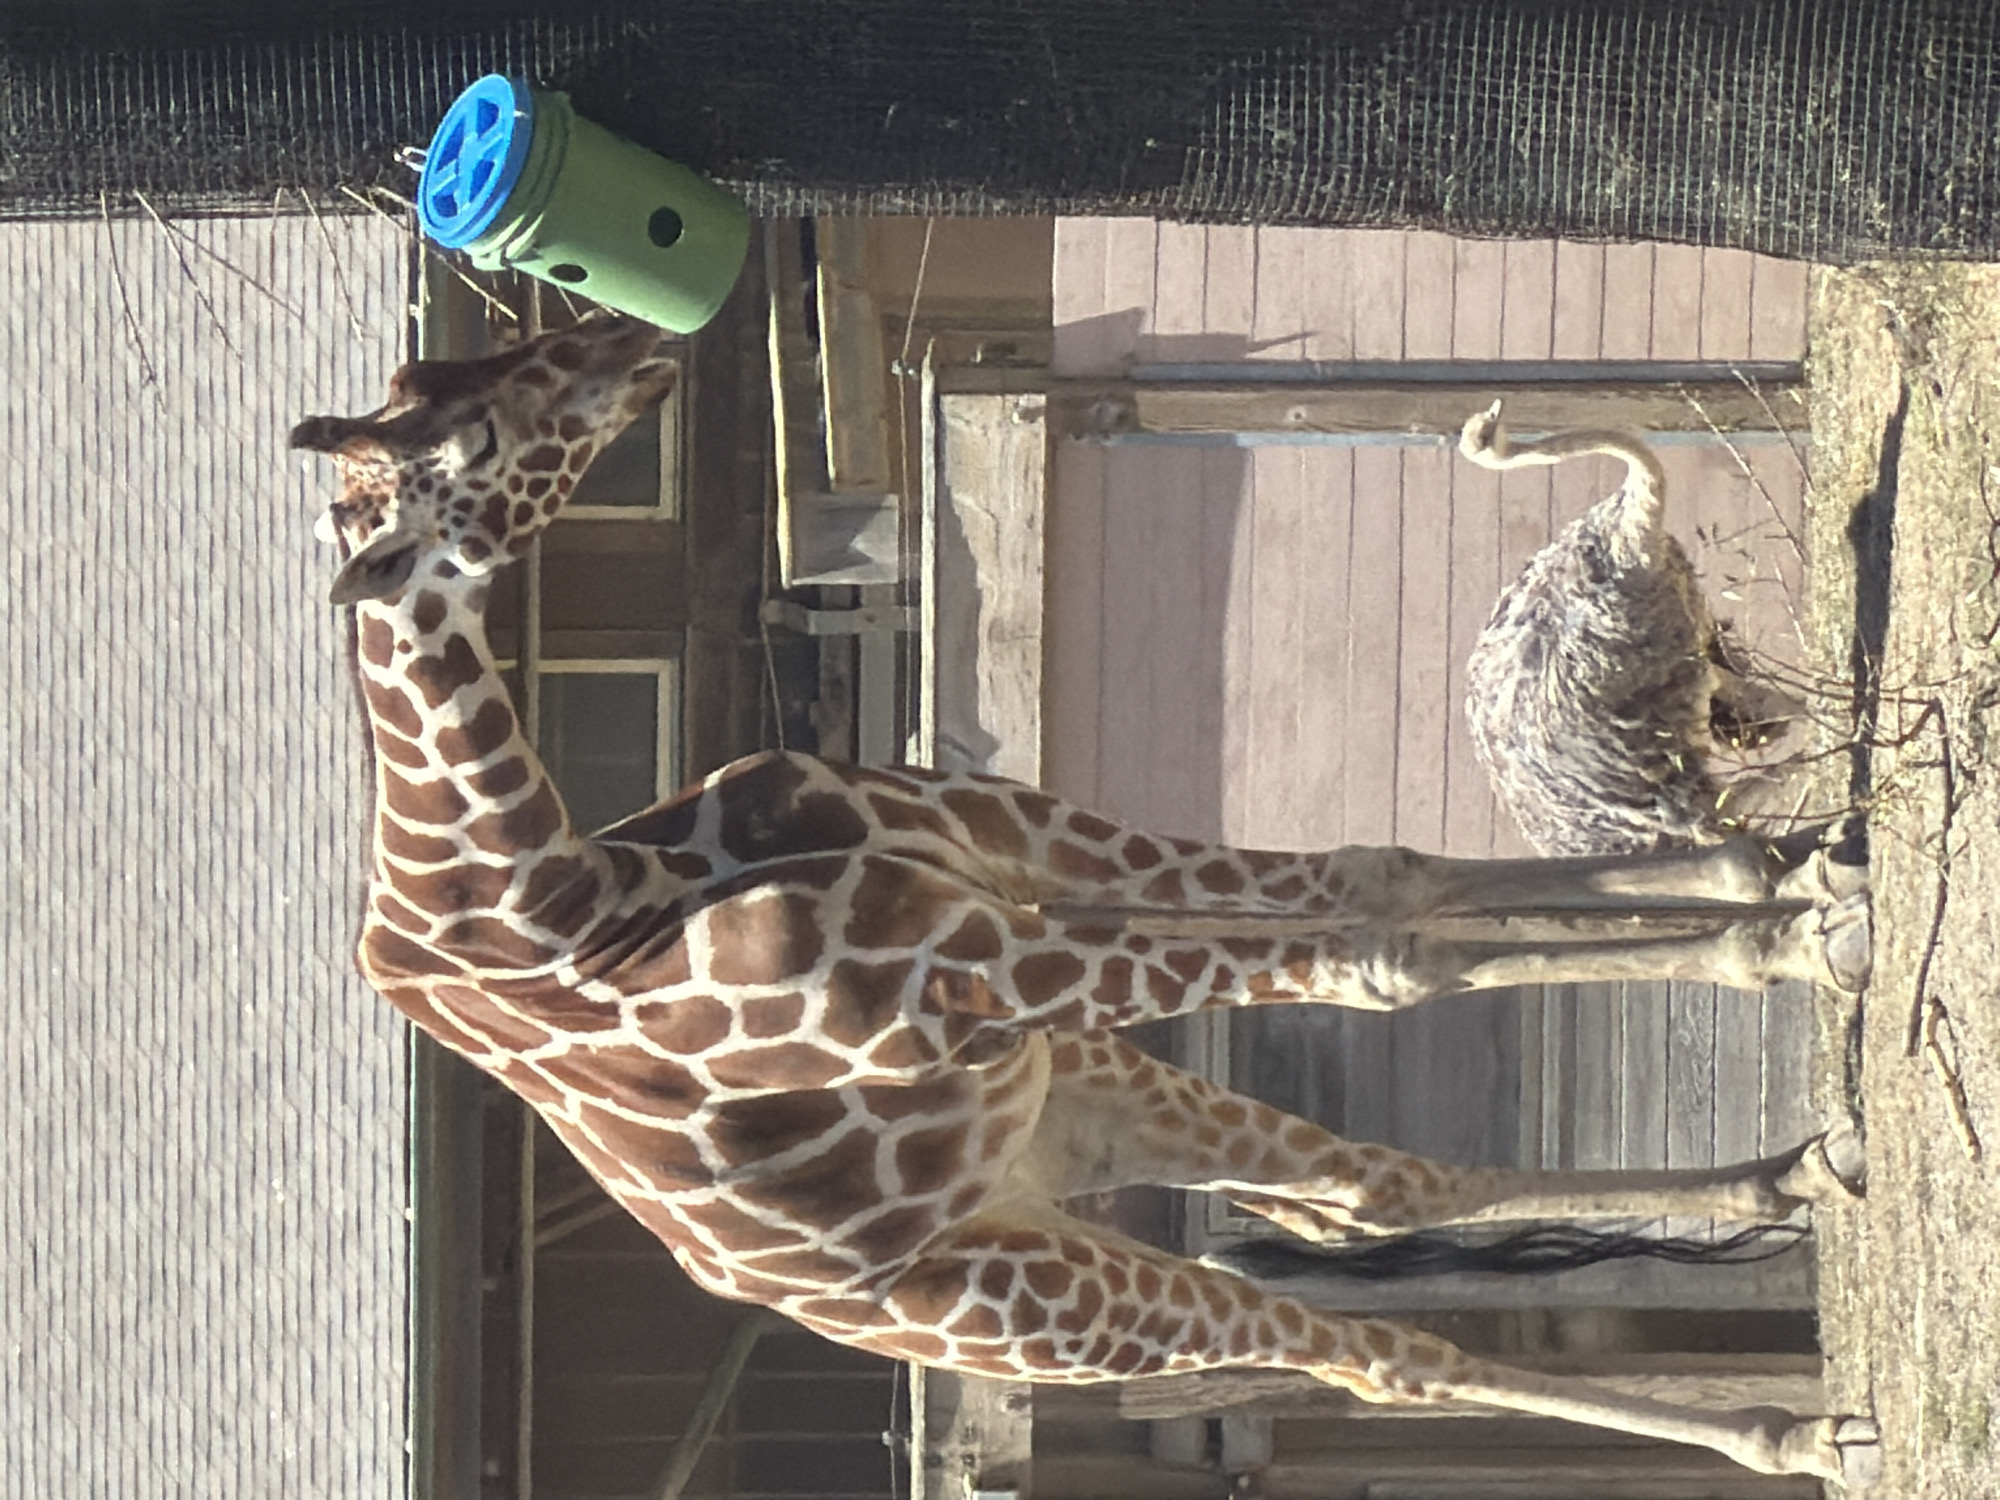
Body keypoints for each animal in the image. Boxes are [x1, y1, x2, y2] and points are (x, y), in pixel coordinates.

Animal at [294, 312, 1879, 1487]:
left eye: (450, 391)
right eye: (468, 436)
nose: (624, 343)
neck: (579, 888)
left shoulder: (1024, 862)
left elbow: (1377, 883)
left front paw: (1788, 884)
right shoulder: (977, 967)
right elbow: (1377, 951)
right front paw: (1802, 925)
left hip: (1079, 1106)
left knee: (1368, 1192)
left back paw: (1793, 1177)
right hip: (1037, 1309)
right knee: (1367, 1348)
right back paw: (1797, 1428)